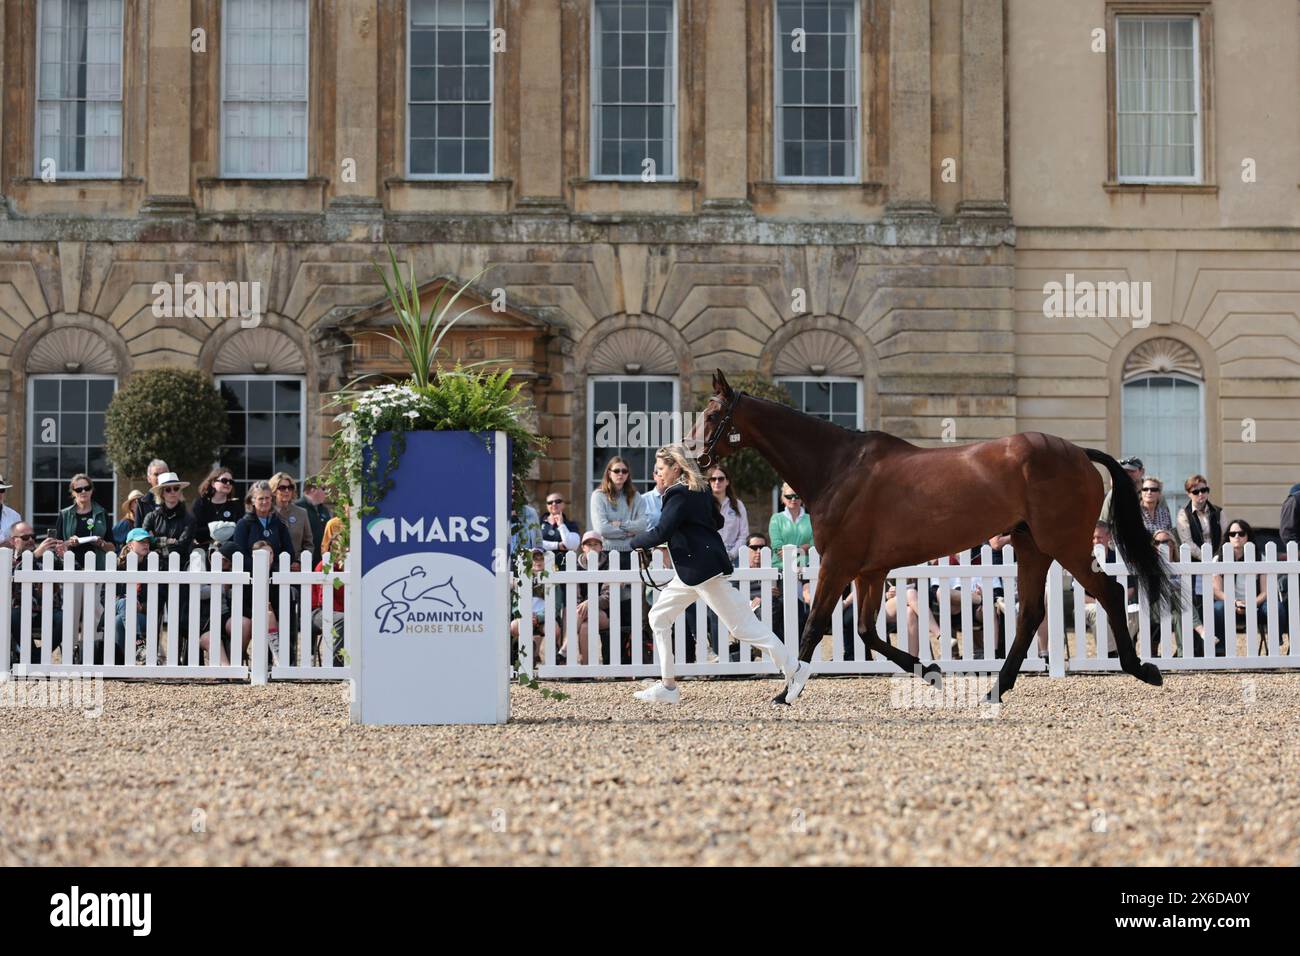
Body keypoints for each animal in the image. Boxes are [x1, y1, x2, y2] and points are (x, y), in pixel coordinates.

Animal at [696, 369, 1185, 707]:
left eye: (714, 415)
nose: (695, 456)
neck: (837, 467)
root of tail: (1079, 452)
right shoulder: (870, 571)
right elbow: (866, 632)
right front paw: (930, 670)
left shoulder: (839, 563)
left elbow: (815, 626)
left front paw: (786, 692)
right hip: (1033, 546)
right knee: (1030, 613)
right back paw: (996, 688)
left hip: (1065, 545)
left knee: (1110, 591)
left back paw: (1143, 669)